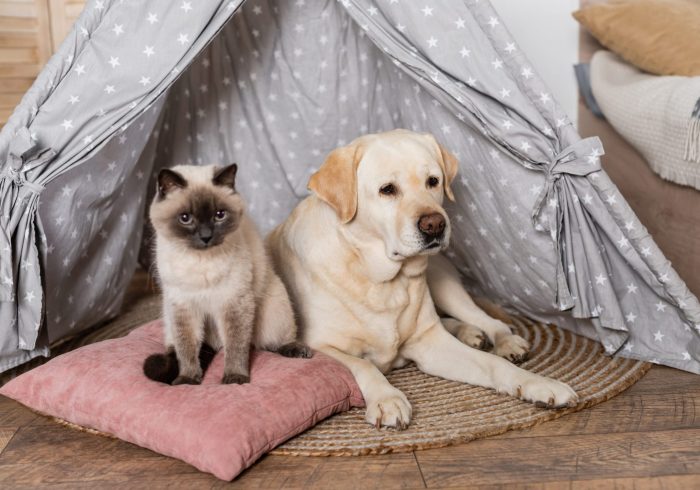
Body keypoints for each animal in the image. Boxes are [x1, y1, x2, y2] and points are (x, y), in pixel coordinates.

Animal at [142, 163, 308, 384]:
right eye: (185, 218)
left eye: (219, 215)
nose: (206, 237)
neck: (201, 261)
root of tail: (214, 341)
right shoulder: (184, 307)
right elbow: (186, 349)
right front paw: (187, 379)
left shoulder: (233, 303)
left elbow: (236, 347)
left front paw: (235, 378)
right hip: (168, 316)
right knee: (177, 347)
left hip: (274, 312)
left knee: (270, 343)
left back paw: (296, 350)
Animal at [266, 127, 576, 428]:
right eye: (387, 189)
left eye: (433, 181)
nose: (435, 224)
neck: (378, 278)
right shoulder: (319, 346)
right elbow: (363, 365)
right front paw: (387, 399)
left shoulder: (431, 344)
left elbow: (493, 364)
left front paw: (539, 384)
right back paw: (467, 332)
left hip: (443, 282)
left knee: (487, 321)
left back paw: (500, 339)